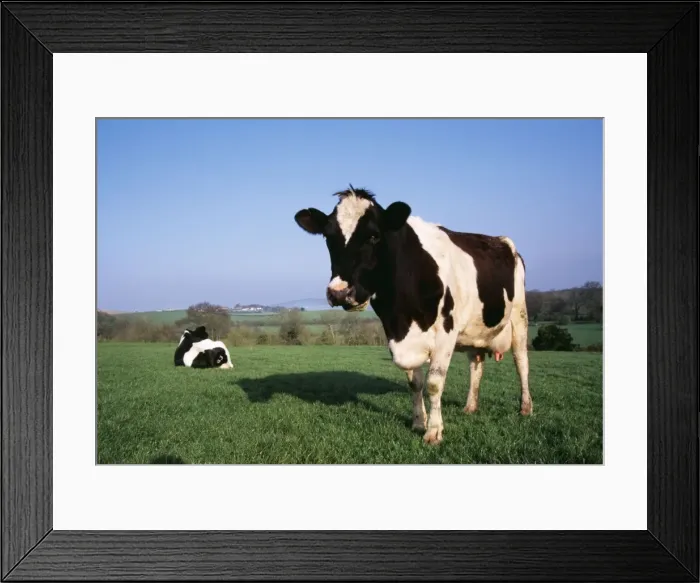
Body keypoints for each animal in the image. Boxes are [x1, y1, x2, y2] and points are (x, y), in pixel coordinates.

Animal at [293, 186, 531, 445]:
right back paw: (470, 406)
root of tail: (503, 242)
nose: (339, 292)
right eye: (328, 237)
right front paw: (419, 422)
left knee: (521, 362)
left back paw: (525, 407)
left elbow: (434, 383)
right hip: (474, 330)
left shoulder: (446, 332)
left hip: (519, 316)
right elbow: (415, 383)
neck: (402, 311)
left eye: (374, 236)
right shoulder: (397, 333)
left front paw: (434, 431)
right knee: (476, 364)